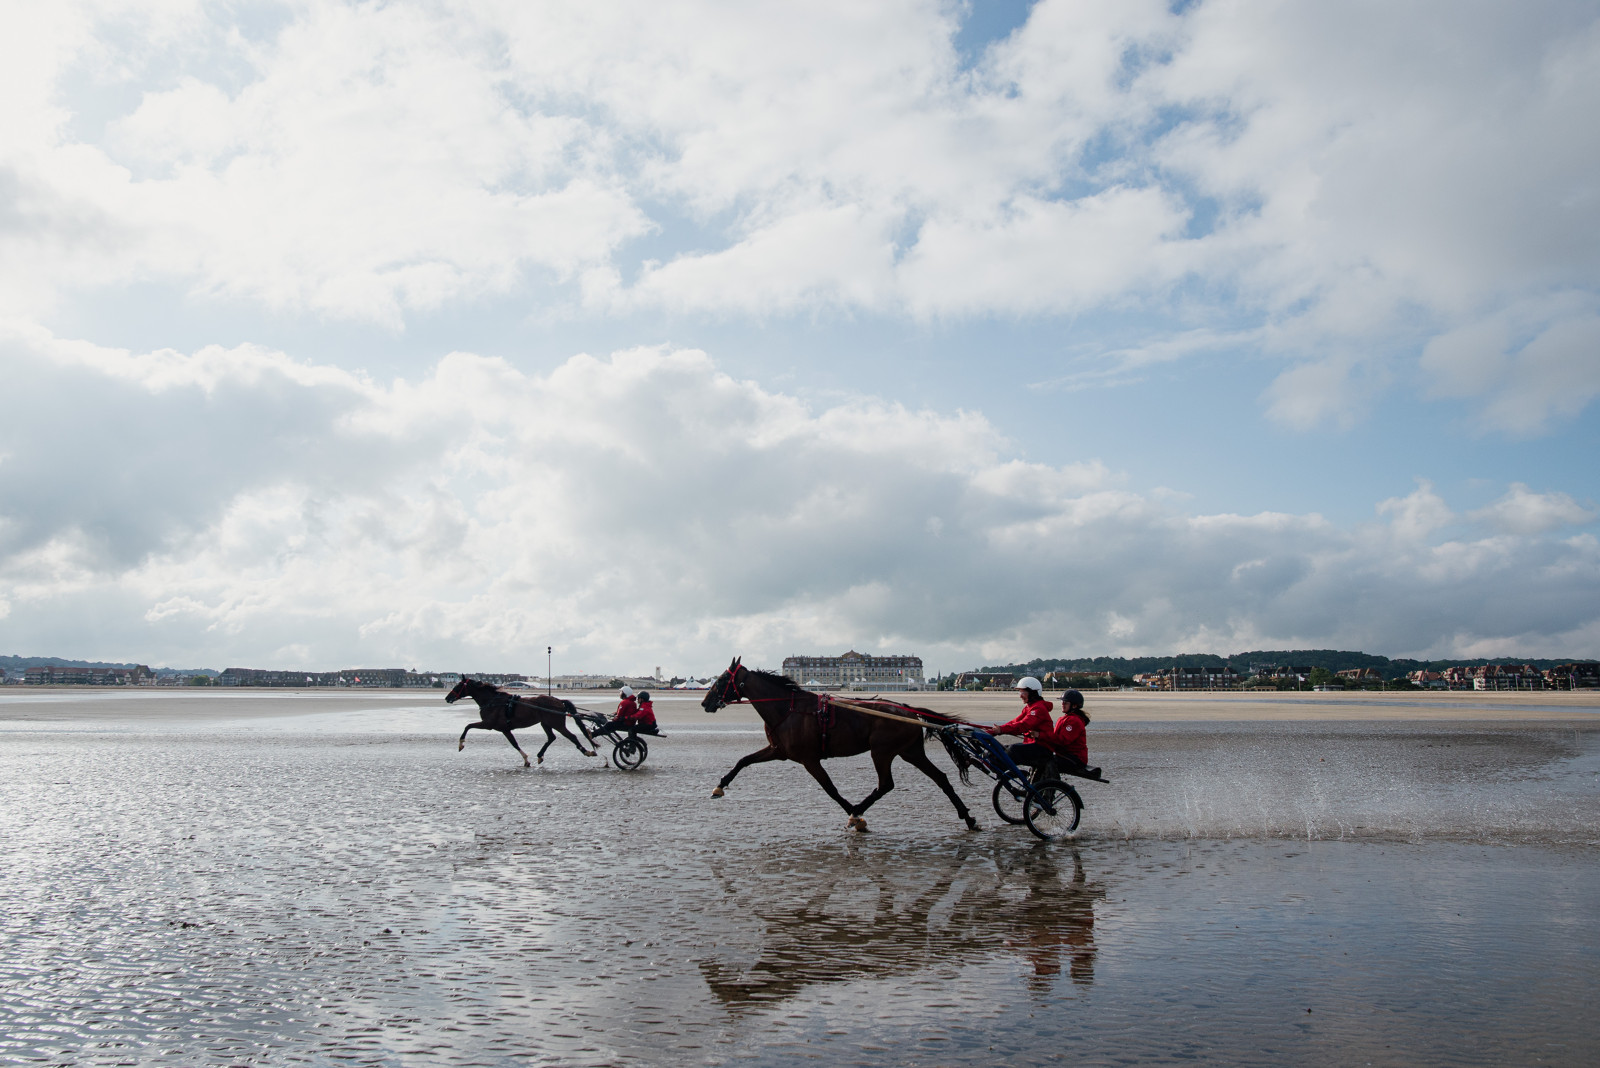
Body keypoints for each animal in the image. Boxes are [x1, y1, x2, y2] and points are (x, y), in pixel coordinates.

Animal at [448, 674, 598, 767]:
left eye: (457, 686)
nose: (447, 698)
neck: (493, 702)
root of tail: (559, 701)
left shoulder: (488, 724)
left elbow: (468, 726)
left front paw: (461, 744)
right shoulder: (504, 729)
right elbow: (514, 743)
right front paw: (526, 760)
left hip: (557, 724)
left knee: (571, 736)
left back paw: (587, 751)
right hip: (546, 723)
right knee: (551, 738)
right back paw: (540, 755)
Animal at [700, 652, 972, 831]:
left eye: (722, 680)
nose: (704, 702)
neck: (786, 709)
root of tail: (908, 710)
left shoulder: (809, 759)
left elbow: (830, 789)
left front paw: (854, 815)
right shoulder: (778, 750)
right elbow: (743, 760)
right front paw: (719, 786)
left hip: (881, 752)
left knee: (886, 784)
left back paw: (858, 811)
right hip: (911, 752)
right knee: (941, 778)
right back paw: (968, 817)